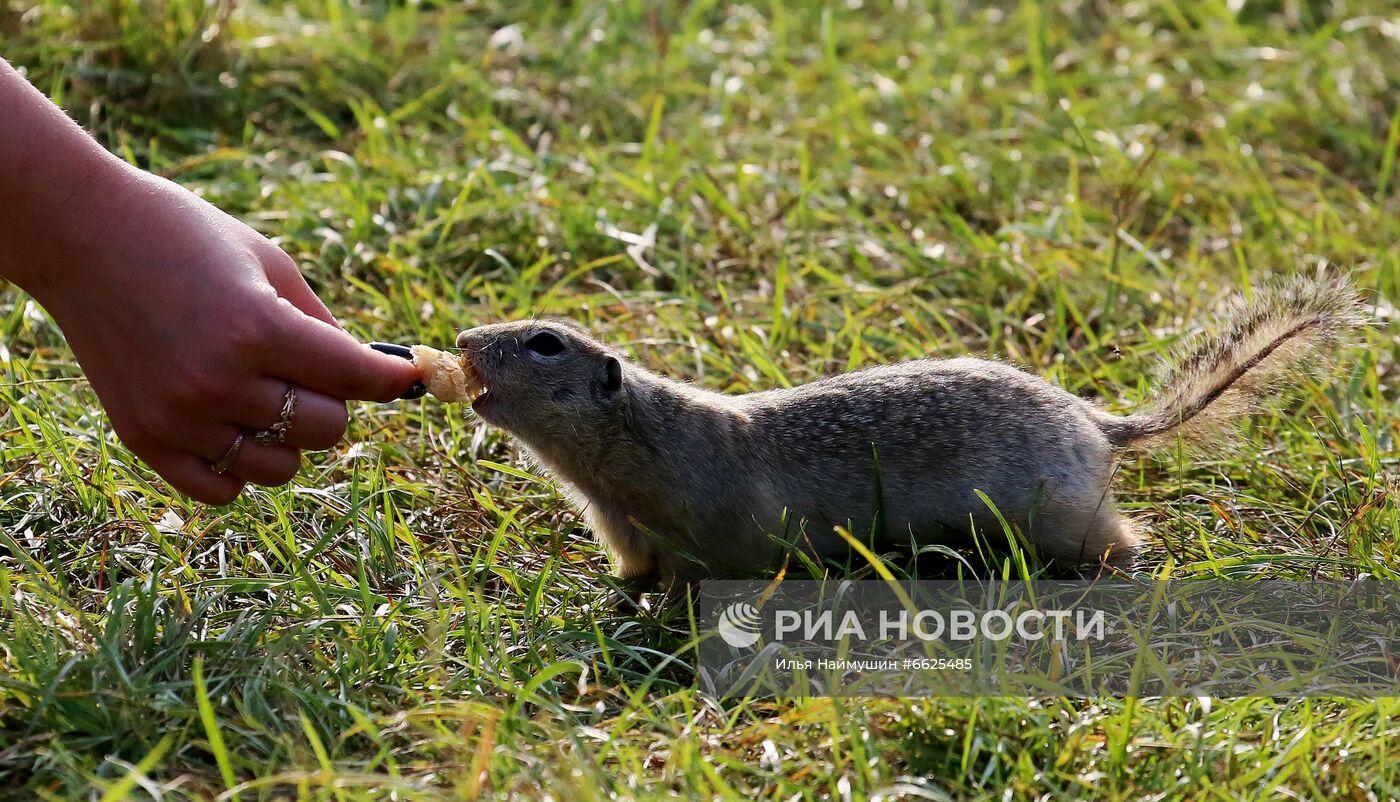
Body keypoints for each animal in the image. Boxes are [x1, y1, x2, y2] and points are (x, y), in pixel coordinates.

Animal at [450, 277, 1366, 582]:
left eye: (545, 342)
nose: (460, 340)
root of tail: (1100, 423)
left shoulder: (717, 520)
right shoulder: (626, 528)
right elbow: (640, 575)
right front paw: (625, 599)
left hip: (1059, 515)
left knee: (1120, 542)